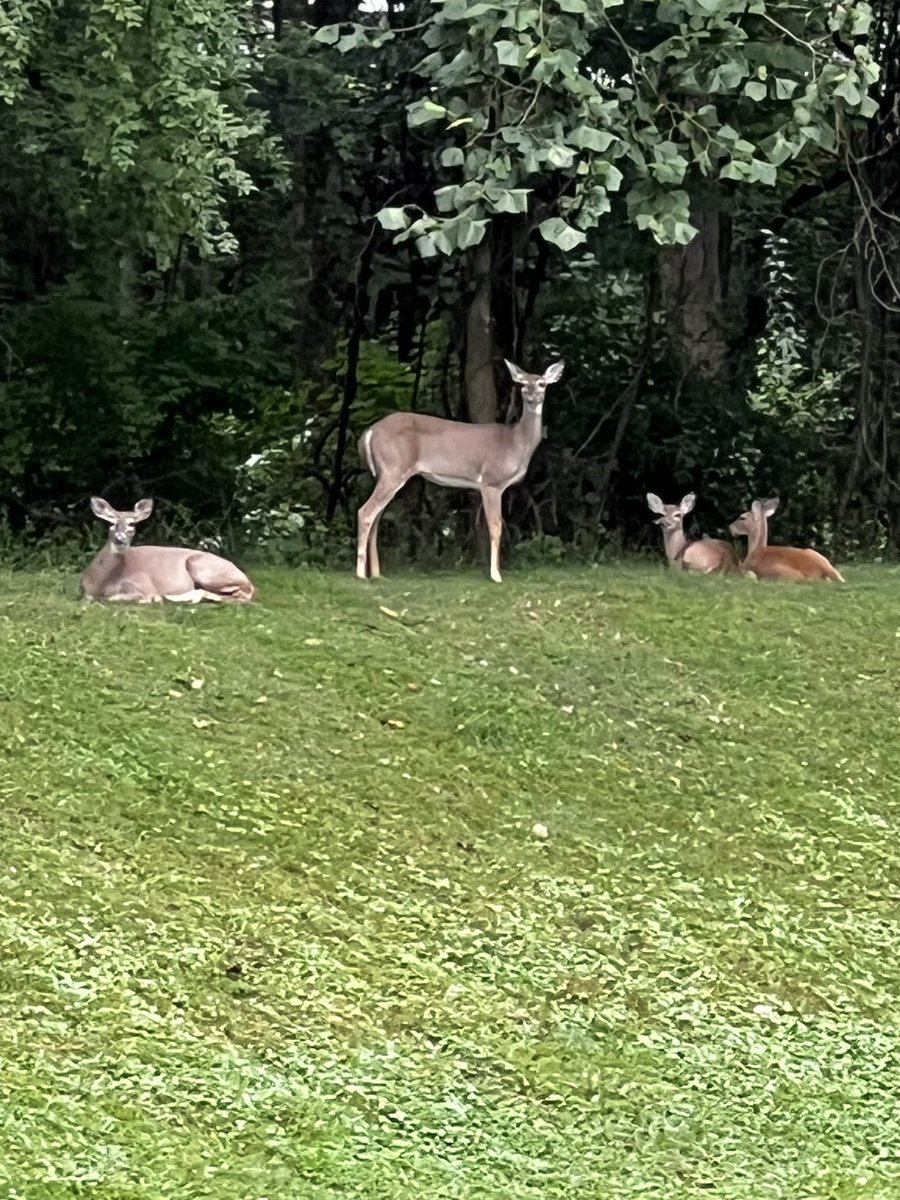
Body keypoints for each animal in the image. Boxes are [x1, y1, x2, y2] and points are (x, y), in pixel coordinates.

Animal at [81, 498, 256, 603]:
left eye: (132, 524)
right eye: (112, 523)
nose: (120, 540)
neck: (99, 581)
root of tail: (244, 576)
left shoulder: (144, 583)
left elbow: (142, 597)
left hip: (203, 568)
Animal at [356, 359, 565, 583]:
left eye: (542, 383)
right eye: (523, 384)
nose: (532, 397)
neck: (515, 443)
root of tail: (369, 432)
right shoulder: (491, 481)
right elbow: (496, 527)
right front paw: (496, 575)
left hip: (385, 473)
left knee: (377, 516)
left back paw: (377, 574)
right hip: (393, 468)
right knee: (365, 512)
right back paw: (361, 574)